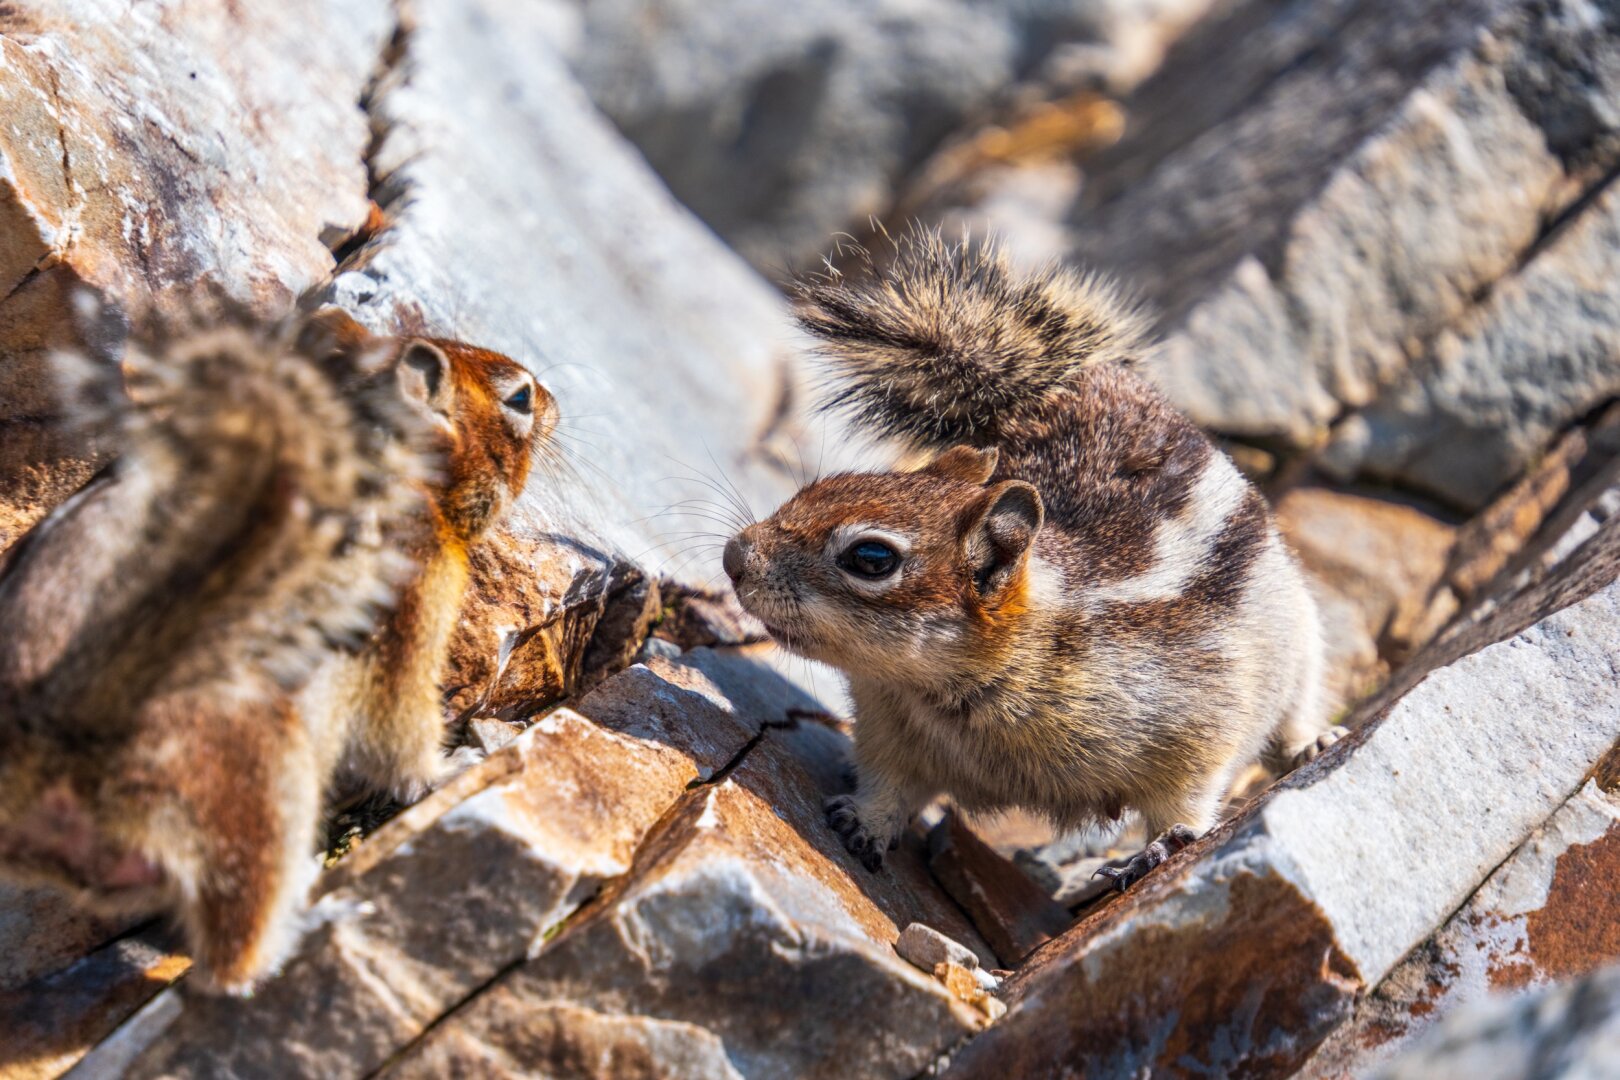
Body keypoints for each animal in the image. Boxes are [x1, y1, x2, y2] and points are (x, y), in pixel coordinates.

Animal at [0, 305, 553, 992]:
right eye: (520, 398)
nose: (555, 399)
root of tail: (48, 740)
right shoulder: (411, 595)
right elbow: (398, 726)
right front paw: (454, 767)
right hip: (257, 769)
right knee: (230, 961)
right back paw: (308, 920)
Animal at [723, 232, 1342, 888]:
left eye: (871, 557)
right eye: (826, 484)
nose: (735, 556)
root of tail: (1082, 381)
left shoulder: (1200, 719)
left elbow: (1188, 798)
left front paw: (1156, 847)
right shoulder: (889, 727)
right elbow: (888, 786)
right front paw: (865, 821)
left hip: (1303, 639)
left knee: (1297, 709)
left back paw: (1313, 744)